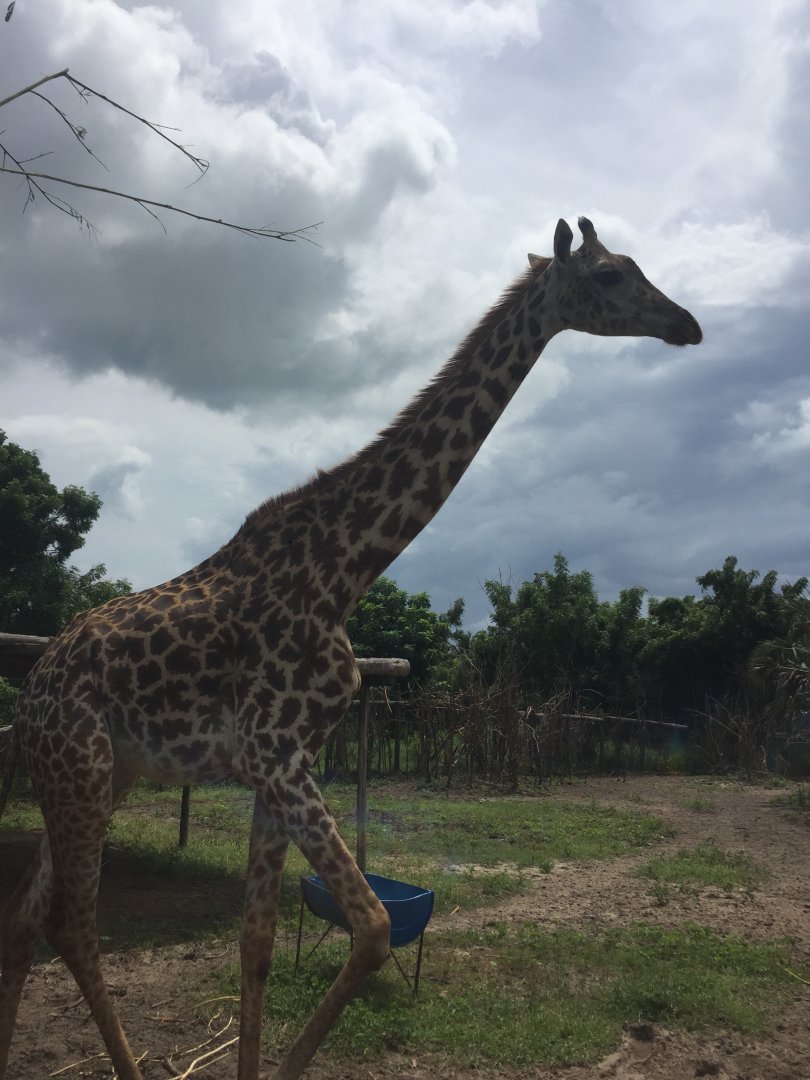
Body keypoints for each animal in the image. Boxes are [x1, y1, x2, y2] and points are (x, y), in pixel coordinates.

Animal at [0, 216, 702, 1080]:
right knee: (71, 922)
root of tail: (34, 685)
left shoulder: (282, 762)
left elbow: (258, 944)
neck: (348, 568)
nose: (686, 324)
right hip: (82, 770)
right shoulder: (275, 752)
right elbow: (369, 928)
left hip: (101, 774)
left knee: (24, 917)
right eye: (608, 276)